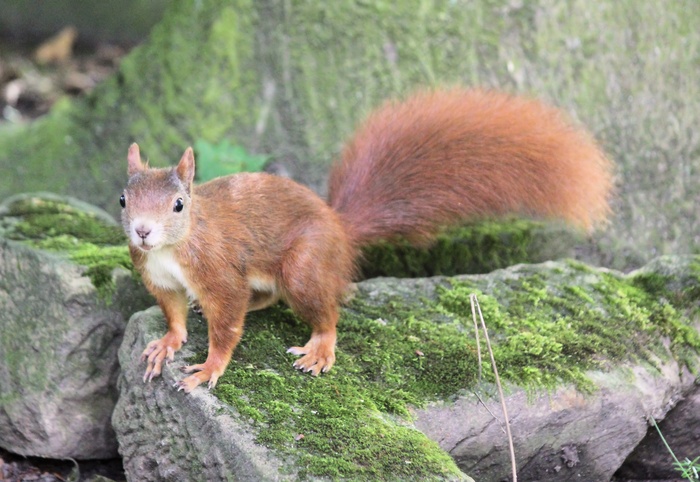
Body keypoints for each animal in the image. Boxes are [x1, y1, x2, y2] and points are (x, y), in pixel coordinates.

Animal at [120, 88, 612, 394]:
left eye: (179, 205)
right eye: (123, 198)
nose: (142, 231)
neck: (171, 250)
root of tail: (339, 229)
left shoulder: (218, 271)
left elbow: (226, 326)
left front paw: (207, 368)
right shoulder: (158, 278)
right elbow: (174, 314)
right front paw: (167, 343)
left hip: (304, 265)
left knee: (323, 311)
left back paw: (319, 348)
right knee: (266, 296)